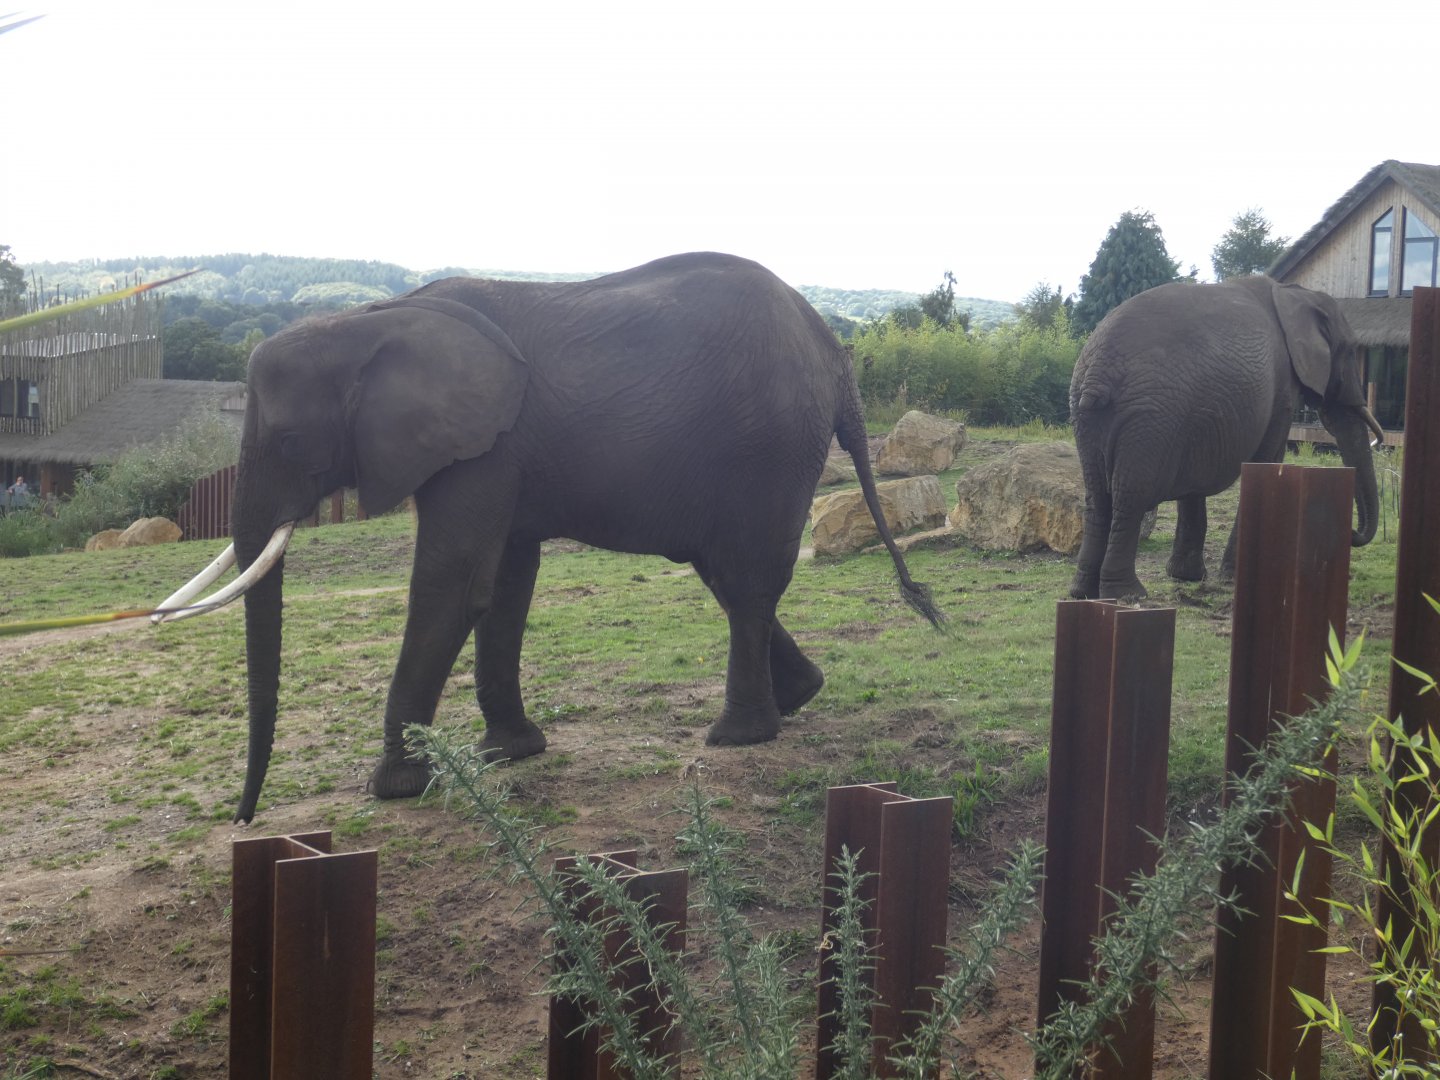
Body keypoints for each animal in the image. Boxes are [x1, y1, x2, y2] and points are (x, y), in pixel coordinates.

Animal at [157, 252, 940, 823]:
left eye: (291, 442)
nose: (243, 821)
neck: (369, 321)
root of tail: (836, 354)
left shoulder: (483, 448)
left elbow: (452, 582)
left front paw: (398, 785)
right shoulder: (495, 453)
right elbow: (505, 583)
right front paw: (509, 754)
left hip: (769, 449)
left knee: (745, 579)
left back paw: (737, 736)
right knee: (723, 571)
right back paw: (800, 697)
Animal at [1069, 275, 1382, 601]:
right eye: (1349, 351)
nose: (1352, 532)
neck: (1294, 292)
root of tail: (1097, 373)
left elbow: (1193, 481)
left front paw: (1187, 576)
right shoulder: (1281, 387)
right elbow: (1266, 461)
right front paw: (1232, 577)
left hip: (1090, 413)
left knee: (1097, 496)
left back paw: (1084, 592)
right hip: (1149, 415)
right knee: (1131, 495)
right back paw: (1128, 595)